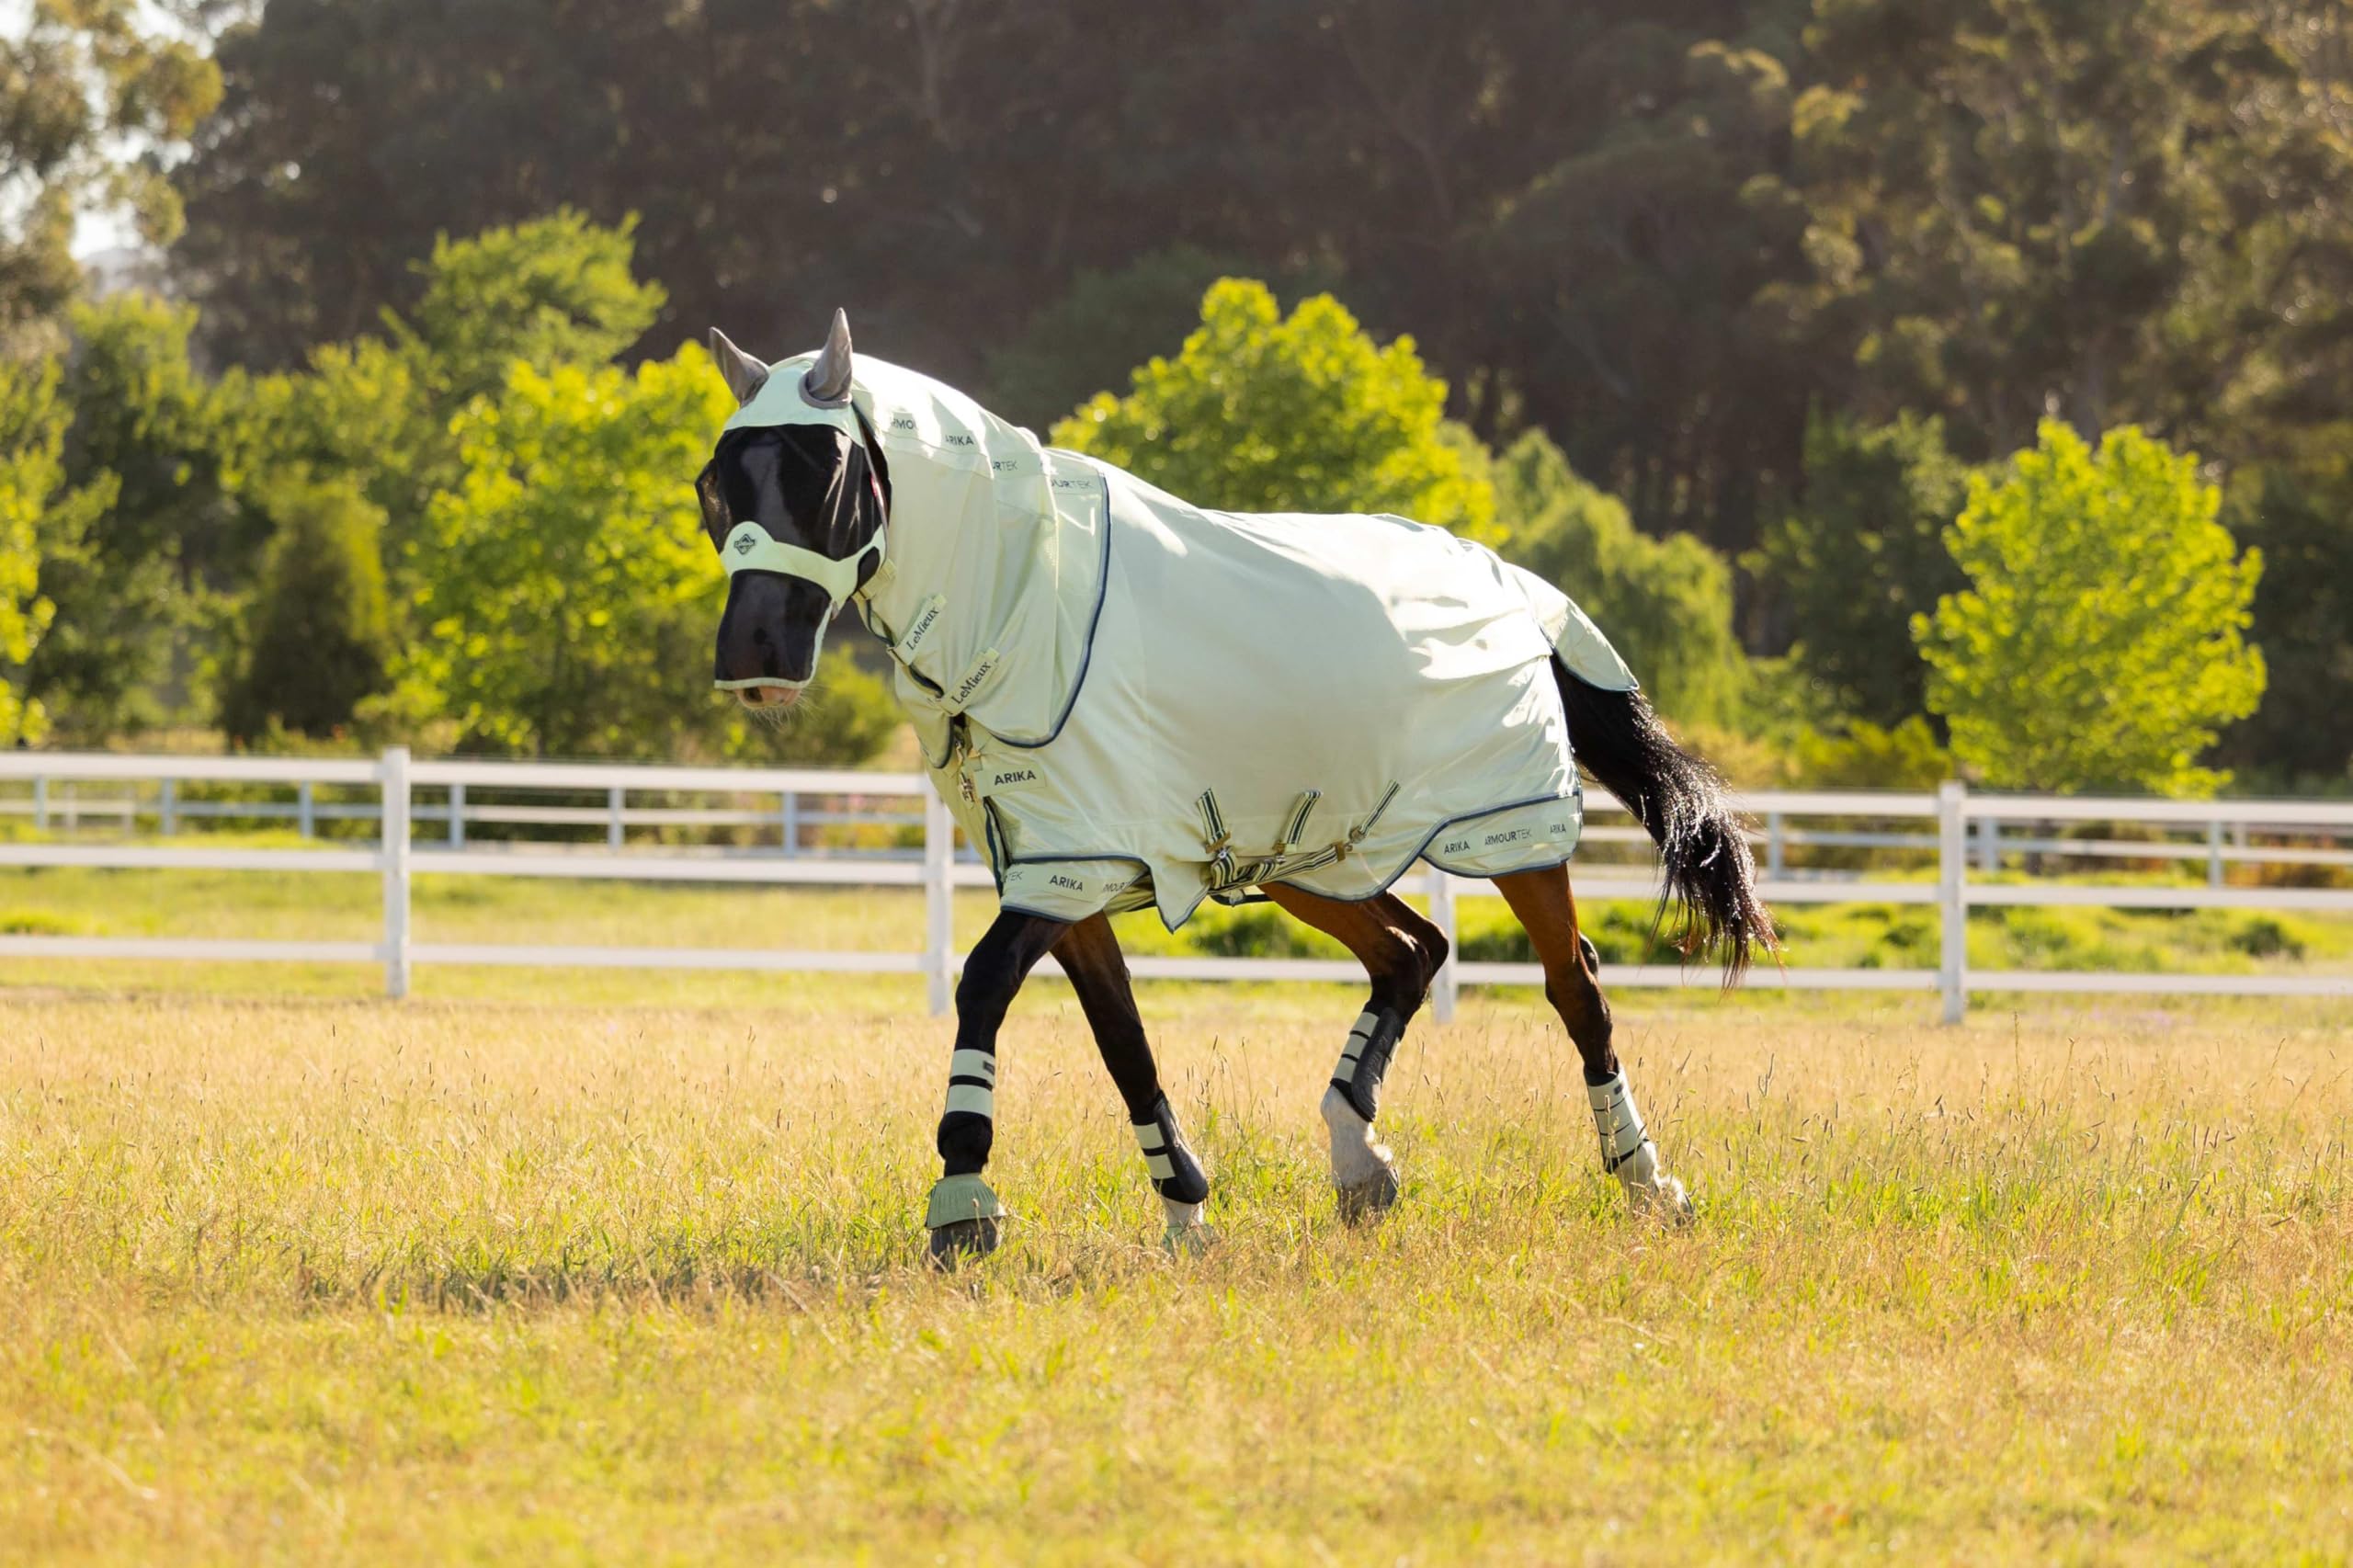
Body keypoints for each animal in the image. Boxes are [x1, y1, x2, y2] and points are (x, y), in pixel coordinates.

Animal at [693, 309, 1773, 1262]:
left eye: (828, 474)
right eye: (714, 487)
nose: (753, 657)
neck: (1023, 602)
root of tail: (1514, 586)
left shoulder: (1064, 875)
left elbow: (984, 986)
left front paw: (961, 1204)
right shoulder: (1062, 871)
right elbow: (1121, 1038)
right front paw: (1185, 1212)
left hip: (1510, 836)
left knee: (1573, 985)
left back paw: (1648, 1182)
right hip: (1310, 853)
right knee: (1410, 952)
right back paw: (1358, 1158)